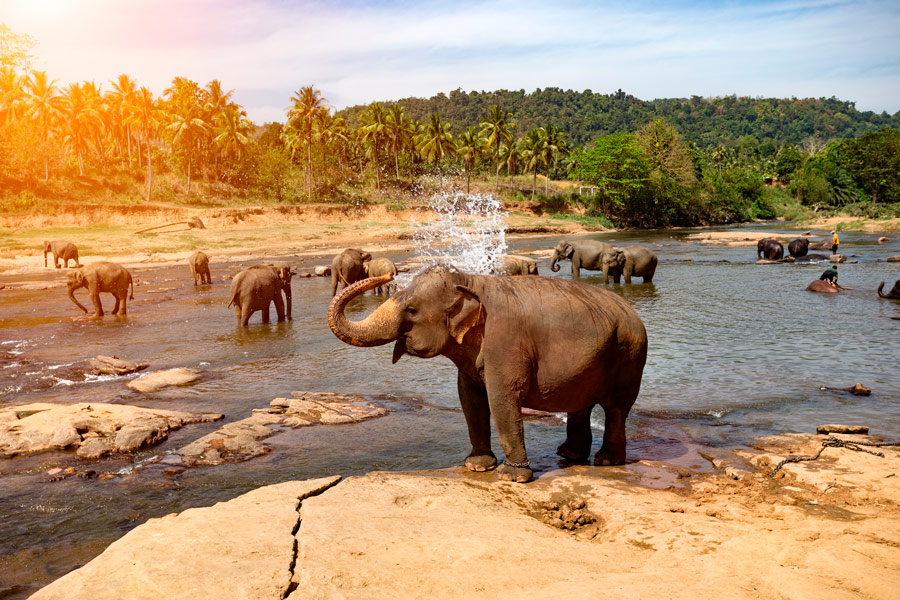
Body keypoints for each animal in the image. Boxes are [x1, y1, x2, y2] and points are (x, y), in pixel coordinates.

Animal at [328, 268, 648, 482]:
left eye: (411, 310)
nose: (386, 275)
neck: (469, 280)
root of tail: (631, 309)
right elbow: (470, 400)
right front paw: (478, 466)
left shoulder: (505, 342)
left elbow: (501, 399)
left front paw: (511, 477)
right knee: (580, 404)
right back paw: (569, 455)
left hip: (630, 353)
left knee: (616, 407)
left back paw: (606, 461)